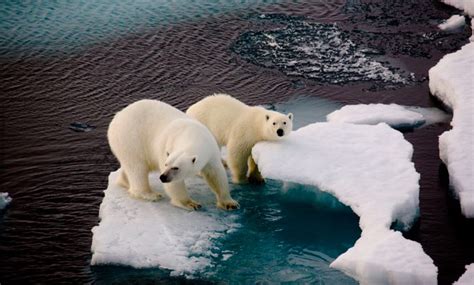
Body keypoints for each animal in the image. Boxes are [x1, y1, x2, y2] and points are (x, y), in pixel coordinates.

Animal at [109, 98, 239, 210]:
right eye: (166, 165)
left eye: (176, 167)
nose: (163, 177)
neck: (192, 134)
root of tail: (116, 118)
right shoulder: (167, 146)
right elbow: (175, 185)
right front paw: (190, 203)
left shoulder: (210, 150)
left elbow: (216, 174)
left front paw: (229, 203)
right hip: (130, 138)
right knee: (137, 168)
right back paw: (150, 194)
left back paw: (125, 181)